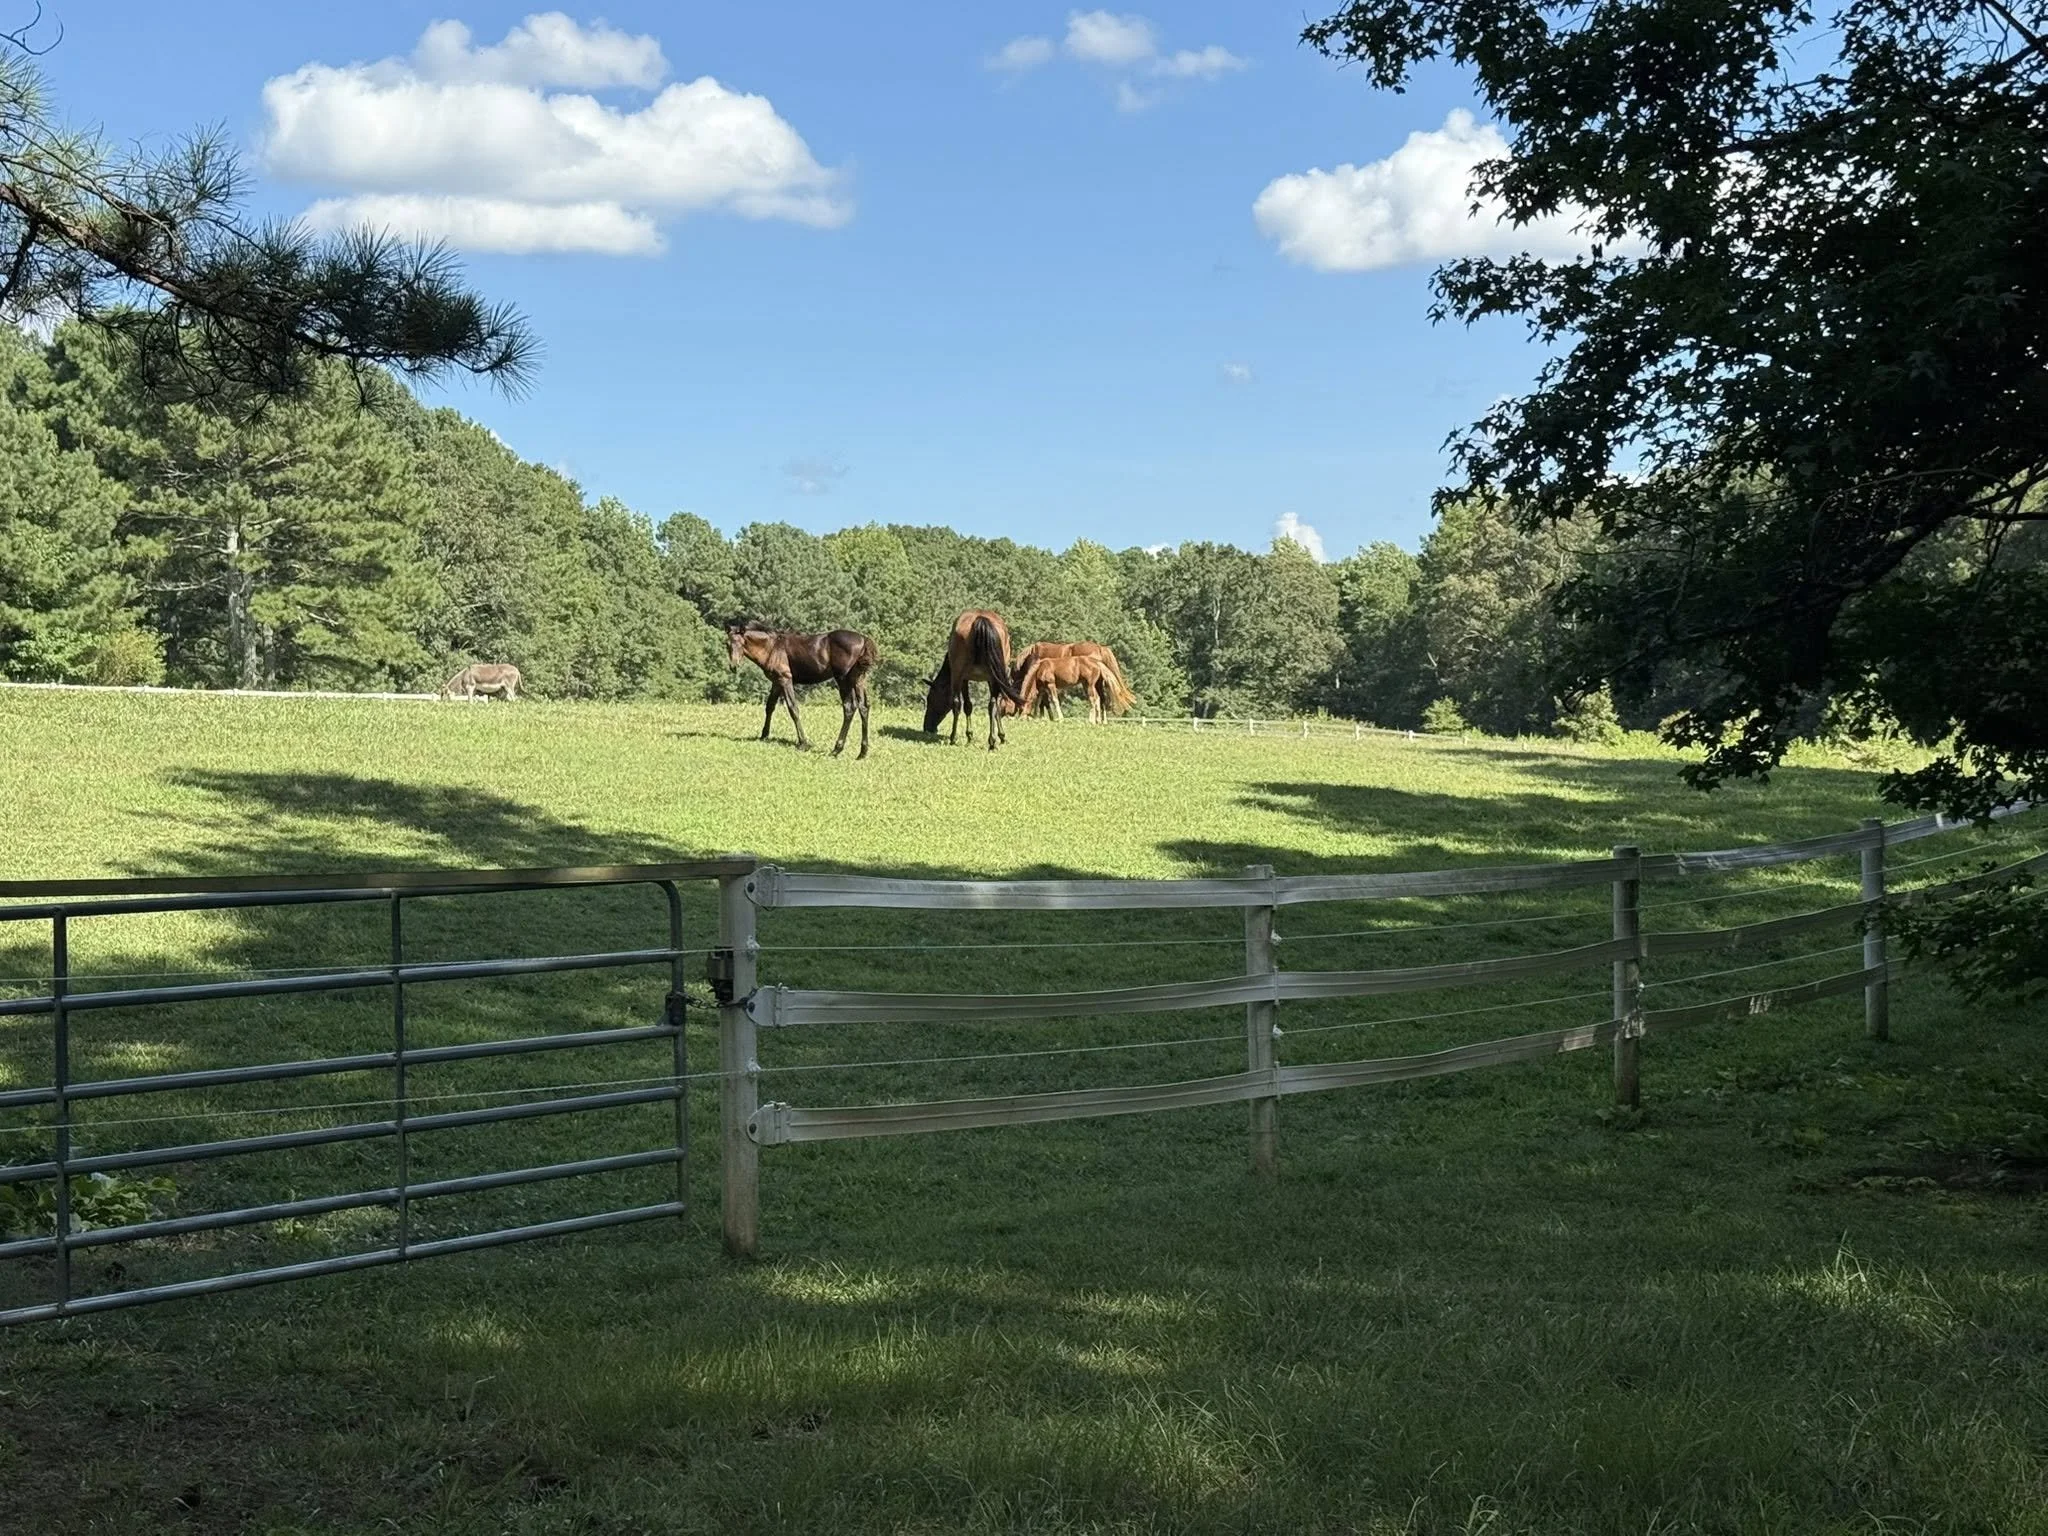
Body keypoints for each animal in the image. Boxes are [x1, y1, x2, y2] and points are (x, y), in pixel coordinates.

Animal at [726, 621, 879, 758]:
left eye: (741, 643)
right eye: (727, 644)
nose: (733, 666)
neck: (772, 647)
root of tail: (863, 639)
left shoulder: (785, 679)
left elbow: (793, 708)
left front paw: (803, 743)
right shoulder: (776, 682)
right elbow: (770, 706)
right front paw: (764, 735)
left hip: (843, 680)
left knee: (849, 707)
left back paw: (837, 749)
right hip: (858, 680)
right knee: (864, 707)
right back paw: (862, 752)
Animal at [923, 610, 1022, 749]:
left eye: (931, 699)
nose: (927, 727)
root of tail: (980, 620)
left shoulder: (965, 679)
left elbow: (968, 705)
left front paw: (971, 736)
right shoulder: (987, 679)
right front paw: (999, 736)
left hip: (961, 675)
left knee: (958, 703)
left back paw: (955, 738)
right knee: (990, 704)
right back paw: (991, 742)